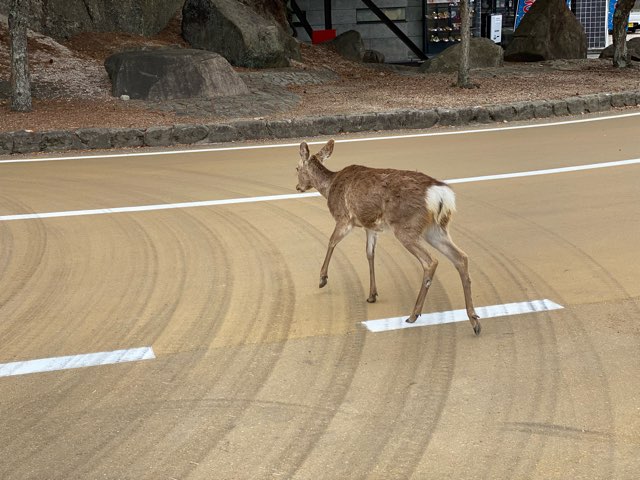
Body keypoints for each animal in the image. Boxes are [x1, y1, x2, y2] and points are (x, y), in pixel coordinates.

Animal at [296, 137, 480, 336]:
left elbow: (331, 241)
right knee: (461, 257)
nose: (298, 187)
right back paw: (474, 319)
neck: (329, 188)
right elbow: (370, 254)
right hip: (436, 229)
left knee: (431, 261)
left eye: (296, 168)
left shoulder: (345, 218)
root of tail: (440, 195)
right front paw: (372, 294)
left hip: (406, 227)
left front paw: (322, 279)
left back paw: (414, 315)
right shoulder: (370, 227)